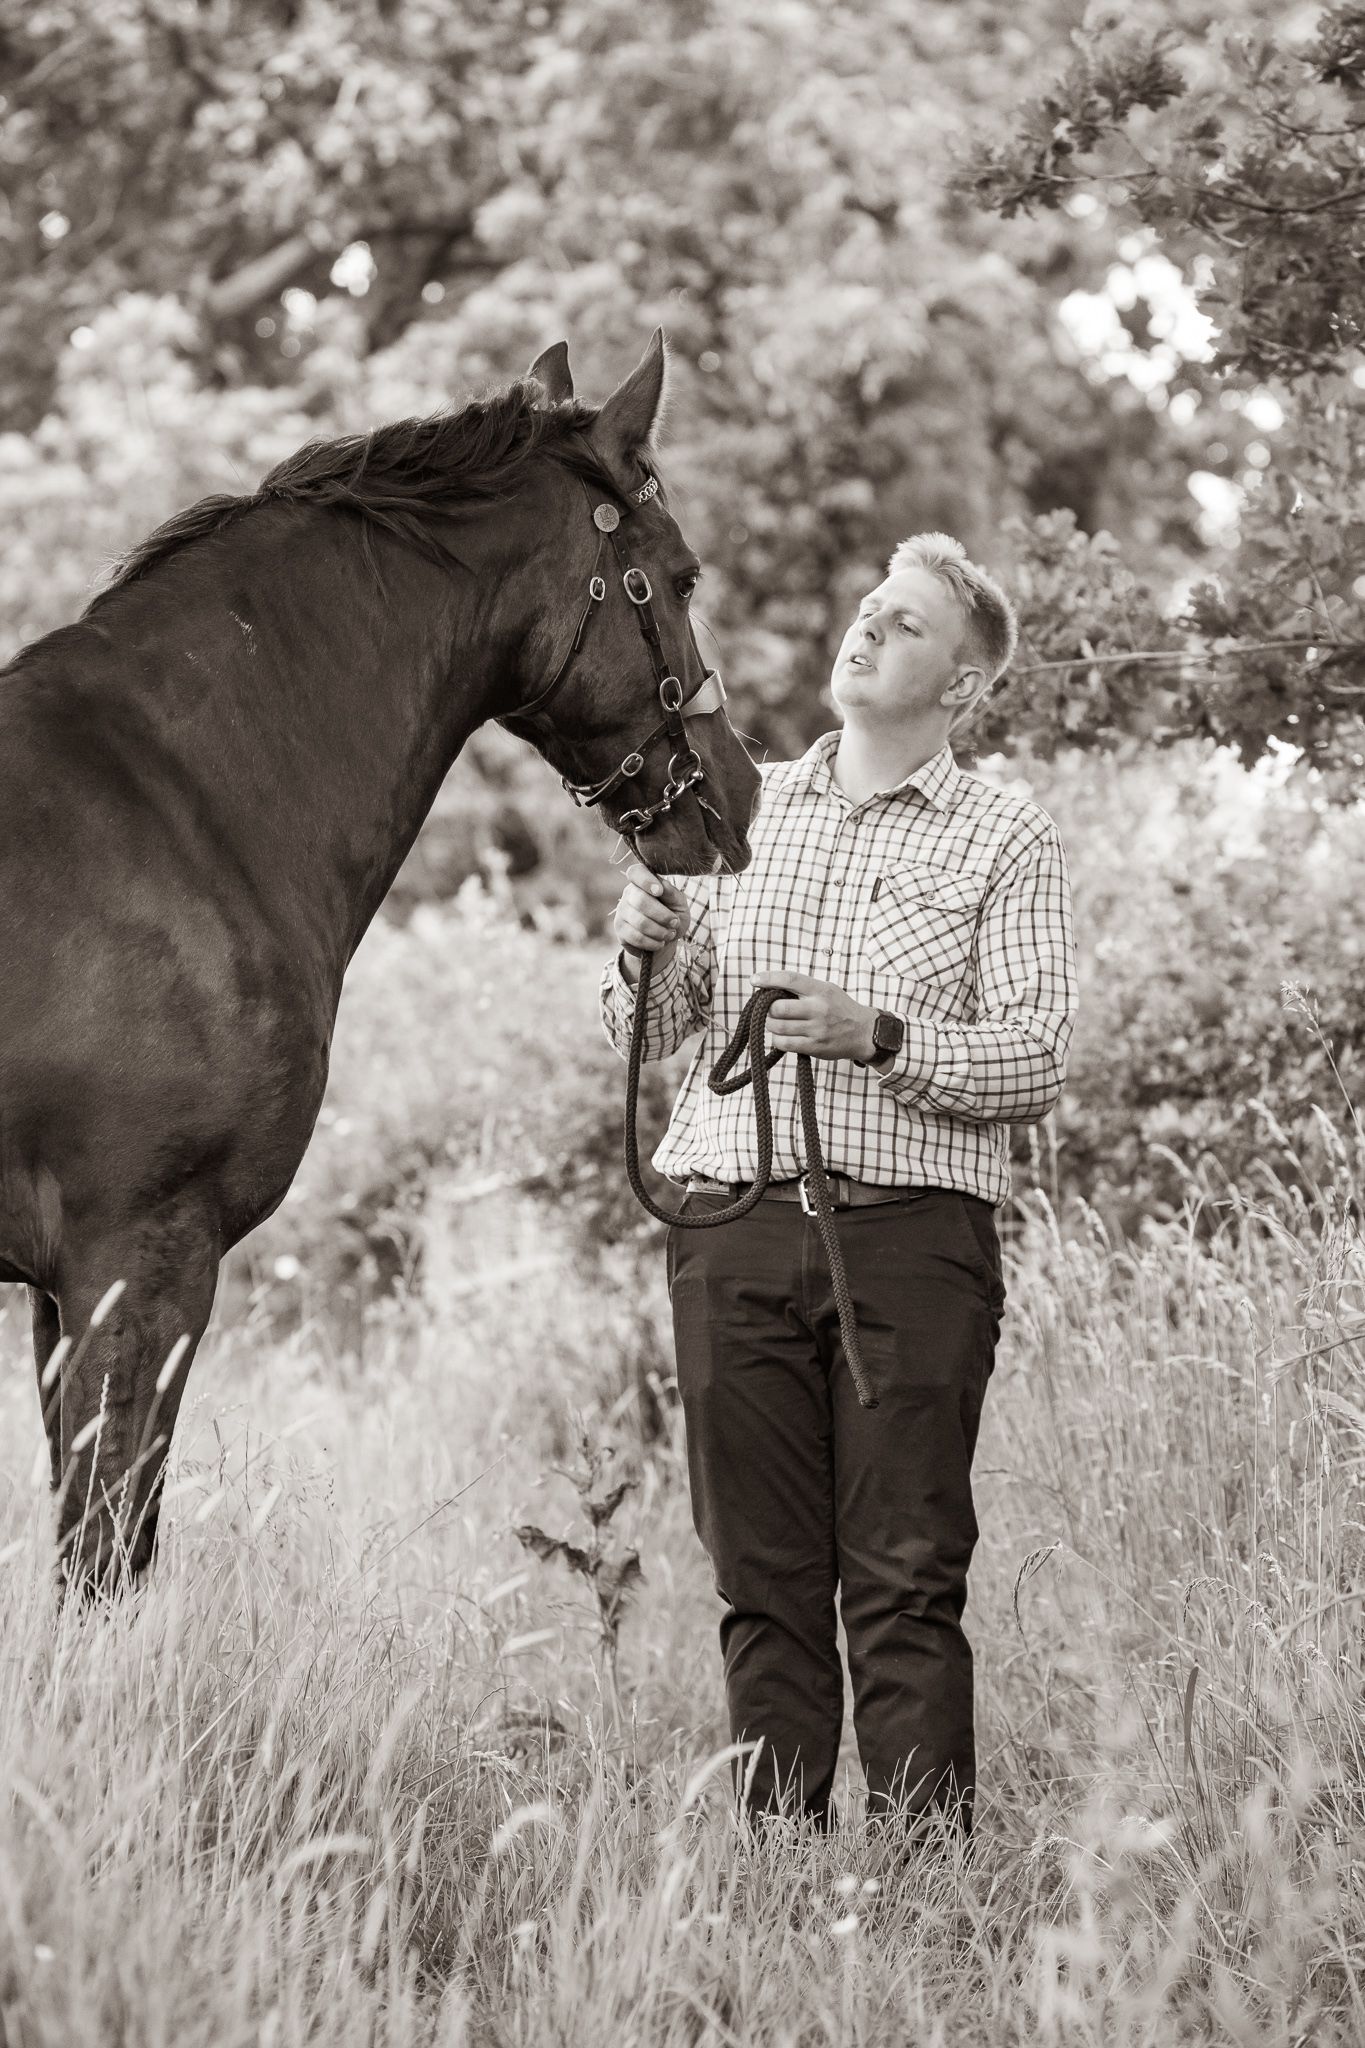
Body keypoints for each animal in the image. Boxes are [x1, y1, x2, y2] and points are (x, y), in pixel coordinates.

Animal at [0, 329, 761, 1591]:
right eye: (684, 574)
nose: (737, 799)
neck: (181, 800)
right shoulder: (136, 1260)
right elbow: (105, 1553)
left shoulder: (75, 1290)